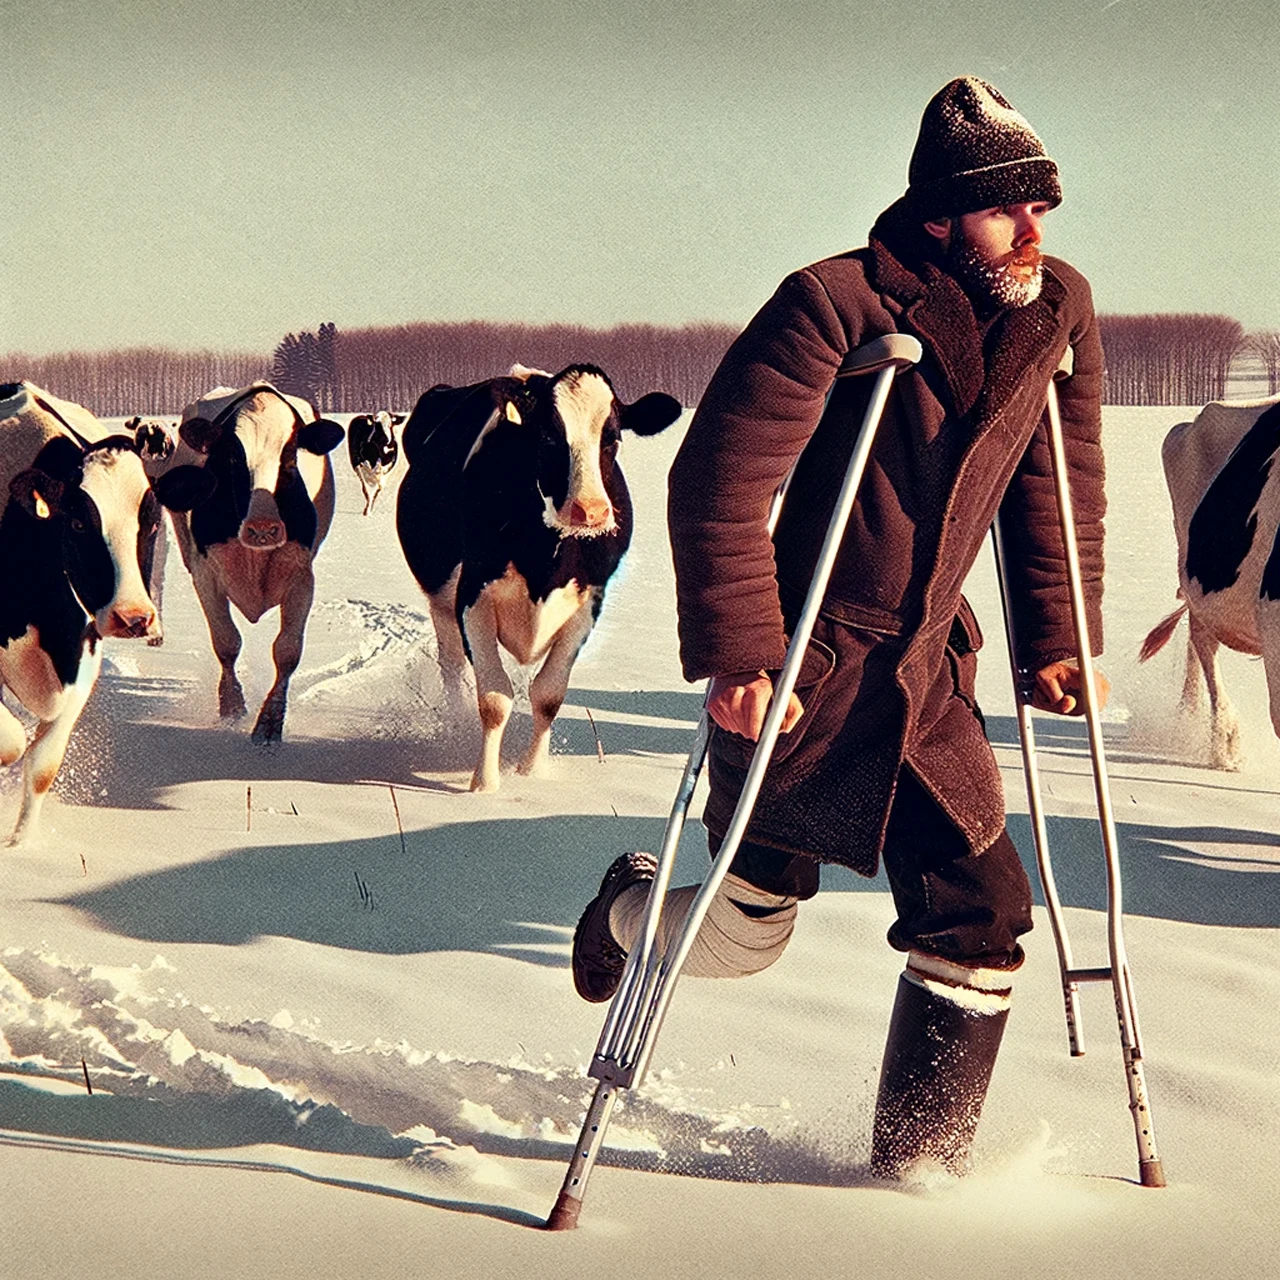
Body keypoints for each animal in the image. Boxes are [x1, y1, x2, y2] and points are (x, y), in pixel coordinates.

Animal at [0, 378, 209, 839]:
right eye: (79, 523)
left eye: (152, 523)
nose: (134, 618)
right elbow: (12, 740)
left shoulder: (83, 648)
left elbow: (42, 764)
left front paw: (20, 842)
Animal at [155, 378, 345, 742]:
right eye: (231, 459)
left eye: (291, 457)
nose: (263, 529)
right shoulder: (205, 574)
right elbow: (227, 642)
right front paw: (231, 706)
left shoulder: (302, 577)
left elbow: (287, 651)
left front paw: (270, 722)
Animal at [396, 360, 680, 793]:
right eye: (548, 437)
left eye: (611, 439)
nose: (590, 511)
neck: (545, 564)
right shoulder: (472, 596)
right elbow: (494, 697)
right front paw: (485, 785)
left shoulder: (588, 602)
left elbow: (548, 695)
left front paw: (532, 773)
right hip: (440, 600)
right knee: (452, 665)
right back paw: (456, 725)